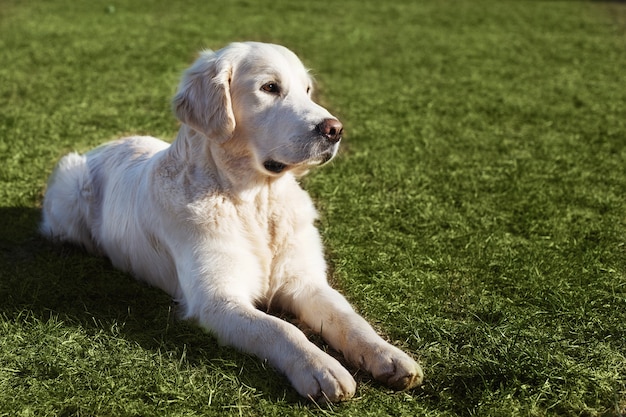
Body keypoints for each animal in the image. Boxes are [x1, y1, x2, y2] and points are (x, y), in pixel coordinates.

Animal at [40, 41, 424, 400]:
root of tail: (106, 145)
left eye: (307, 90)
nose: (335, 129)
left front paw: (387, 355)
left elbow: (349, 319)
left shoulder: (305, 282)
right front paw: (320, 368)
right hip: (69, 184)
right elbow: (281, 328)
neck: (254, 201)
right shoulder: (217, 299)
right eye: (270, 87)